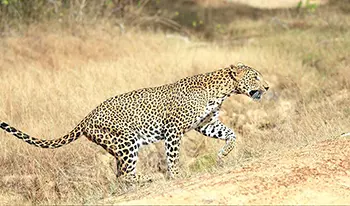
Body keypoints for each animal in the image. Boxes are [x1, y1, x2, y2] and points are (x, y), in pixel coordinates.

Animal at [0, 62, 270, 183]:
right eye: (256, 76)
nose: (267, 87)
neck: (221, 91)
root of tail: (86, 117)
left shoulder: (205, 123)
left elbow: (231, 134)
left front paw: (224, 153)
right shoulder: (173, 129)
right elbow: (172, 156)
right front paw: (176, 175)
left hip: (120, 147)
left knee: (120, 175)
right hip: (127, 141)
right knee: (126, 175)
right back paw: (151, 178)